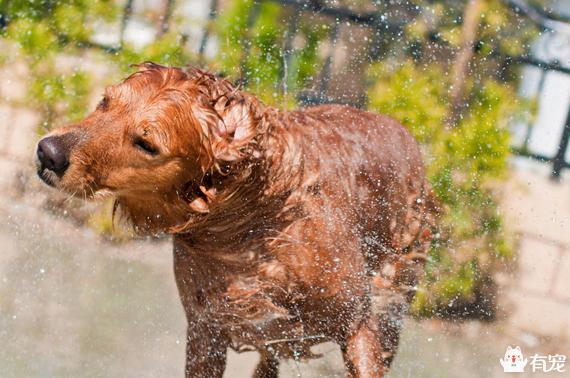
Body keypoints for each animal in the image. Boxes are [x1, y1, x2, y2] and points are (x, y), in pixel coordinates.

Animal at [35, 63, 434, 376]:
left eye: (146, 144)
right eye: (105, 102)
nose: (48, 153)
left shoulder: (356, 323)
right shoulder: (206, 331)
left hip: (392, 302)